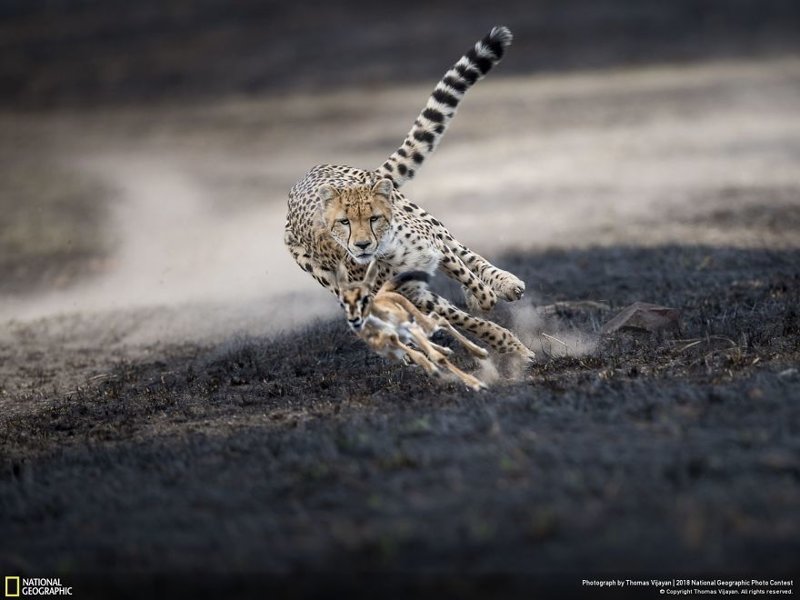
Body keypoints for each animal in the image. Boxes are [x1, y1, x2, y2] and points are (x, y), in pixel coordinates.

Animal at [284, 24, 536, 356]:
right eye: (343, 223)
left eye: (373, 218)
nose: (361, 245)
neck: (388, 253)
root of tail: (306, 175)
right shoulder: (414, 293)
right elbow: (466, 320)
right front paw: (507, 343)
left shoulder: (437, 249)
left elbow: (468, 275)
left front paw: (484, 297)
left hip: (428, 221)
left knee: (469, 255)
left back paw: (504, 283)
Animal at [332, 258, 484, 392]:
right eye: (342, 303)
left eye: (364, 298)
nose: (354, 320)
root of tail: (383, 292)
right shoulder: (393, 342)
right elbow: (420, 356)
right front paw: (434, 370)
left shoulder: (409, 330)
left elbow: (435, 356)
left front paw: (476, 384)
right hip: (408, 334)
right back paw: (448, 351)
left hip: (421, 324)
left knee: (440, 320)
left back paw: (480, 353)